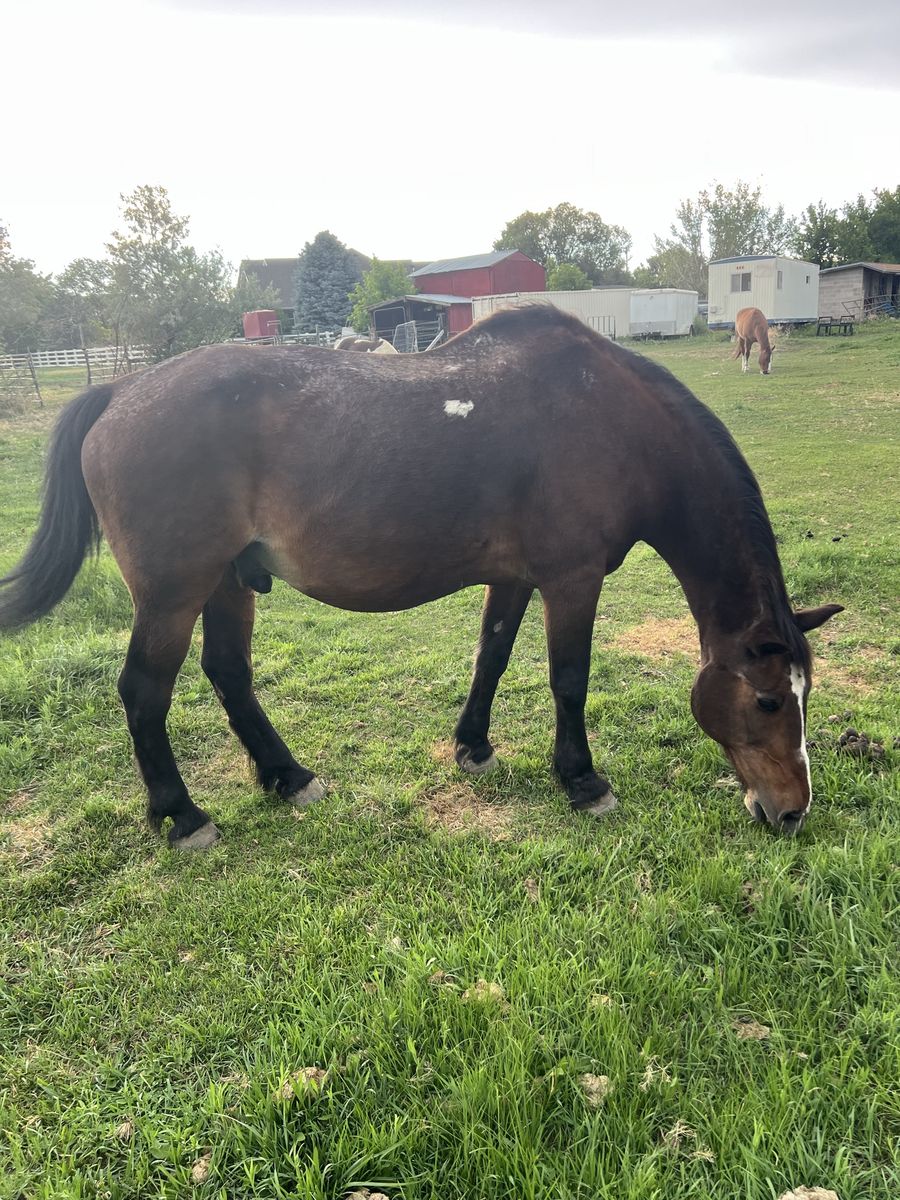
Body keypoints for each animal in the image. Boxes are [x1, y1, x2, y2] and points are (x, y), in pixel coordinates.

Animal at [0, 307, 841, 849]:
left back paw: (288, 776)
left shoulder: (516, 577)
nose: (792, 811)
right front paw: (582, 781)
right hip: (174, 594)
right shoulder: (570, 580)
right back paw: (183, 816)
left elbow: (492, 656)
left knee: (229, 673)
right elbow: (569, 679)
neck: (607, 416)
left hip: (228, 583)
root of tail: (121, 392)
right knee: (145, 693)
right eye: (769, 700)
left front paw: (474, 746)